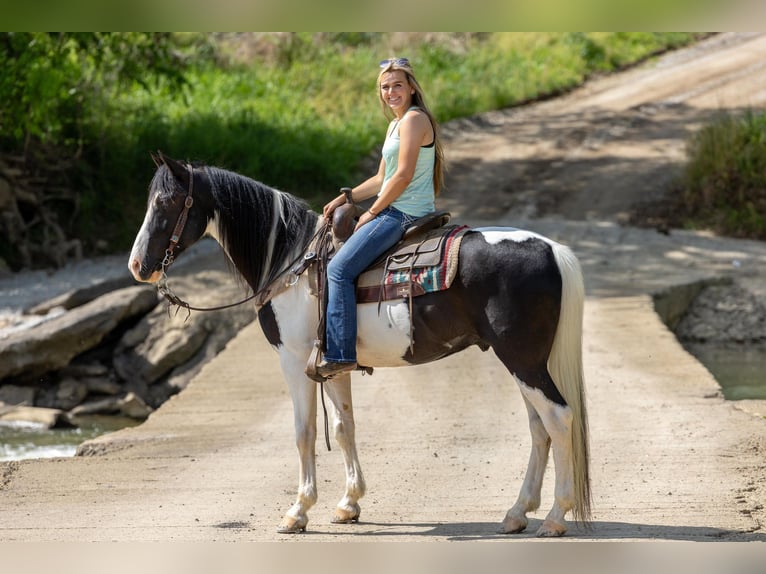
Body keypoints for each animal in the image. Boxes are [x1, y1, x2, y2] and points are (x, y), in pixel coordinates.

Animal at [129, 154, 592, 540]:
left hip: (522, 358)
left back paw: (554, 517)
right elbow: (343, 426)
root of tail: (553, 250)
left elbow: (304, 432)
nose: (137, 266)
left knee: (558, 418)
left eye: (167, 203)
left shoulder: (293, 361)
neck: (289, 262)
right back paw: (517, 513)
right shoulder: (332, 363)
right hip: (523, 360)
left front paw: (298, 511)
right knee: (538, 427)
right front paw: (348, 504)